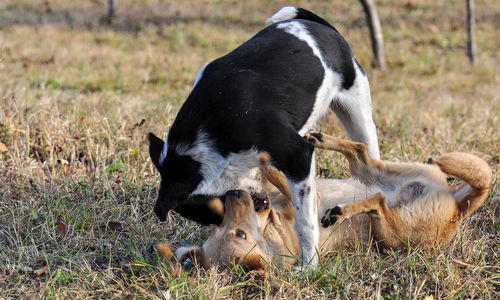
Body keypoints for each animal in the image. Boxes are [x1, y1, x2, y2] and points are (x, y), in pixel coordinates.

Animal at [148, 6, 378, 264]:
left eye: (217, 213)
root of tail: (320, 25)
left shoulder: (298, 156)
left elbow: (305, 223)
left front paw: (308, 265)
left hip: (357, 112)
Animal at [170, 133, 490, 270]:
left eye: (228, 228)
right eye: (239, 235)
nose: (236, 195)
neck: (273, 227)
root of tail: (457, 210)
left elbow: (273, 175)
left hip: (380, 173)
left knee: (360, 153)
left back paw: (321, 138)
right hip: (390, 234)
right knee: (376, 201)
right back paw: (340, 211)